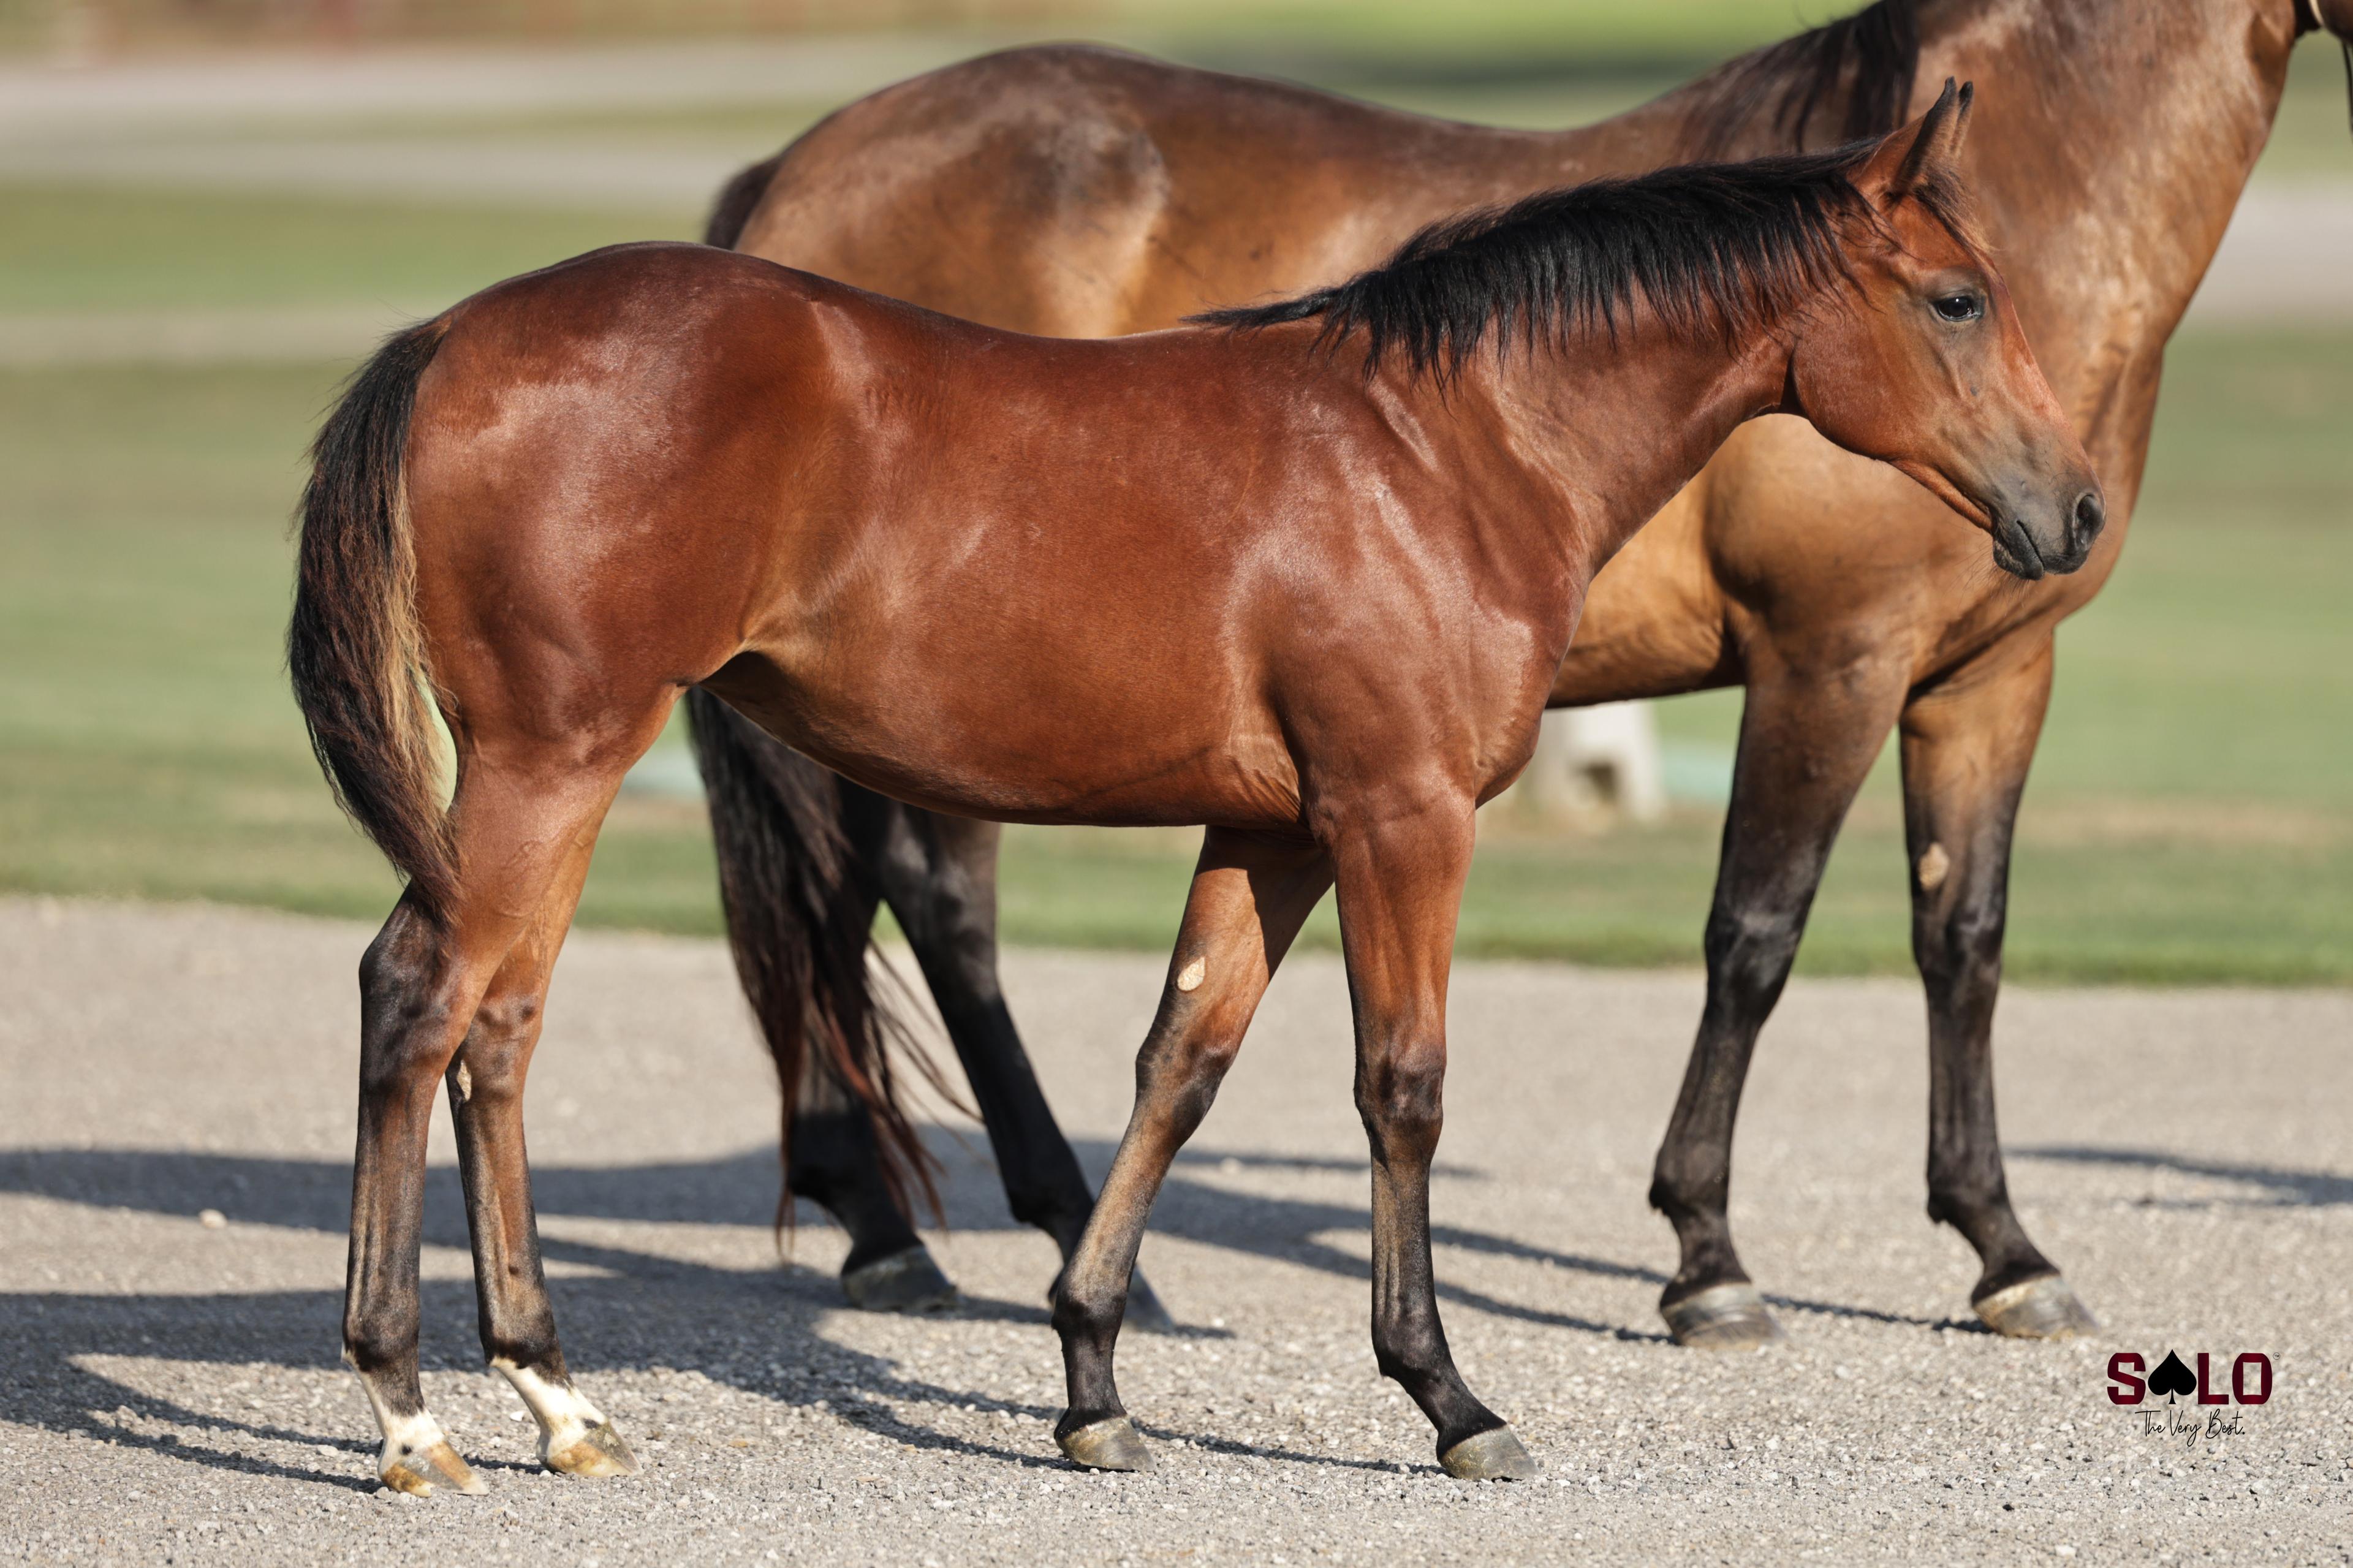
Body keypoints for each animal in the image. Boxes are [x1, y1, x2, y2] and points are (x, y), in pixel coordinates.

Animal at [290, 87, 2098, 1491]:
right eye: (1956, 298)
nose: (2072, 510)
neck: (1438, 449)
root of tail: (449, 338)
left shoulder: (1273, 828)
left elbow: (1180, 1066)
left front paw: (1092, 1378)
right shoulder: (1399, 815)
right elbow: (1402, 1086)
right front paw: (1449, 1397)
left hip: (565, 769)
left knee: (500, 1025)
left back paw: (555, 1393)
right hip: (553, 756)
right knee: (418, 995)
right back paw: (408, 1406)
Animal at [686, 0, 2353, 1345]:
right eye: (1956, 300)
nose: (2065, 508)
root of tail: (792, 175)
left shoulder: (1989, 674)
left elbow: (1966, 941)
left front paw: (2005, 1250)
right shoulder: (1829, 659)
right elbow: (1754, 936)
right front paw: (1706, 1258)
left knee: (869, 903)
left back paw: (906, 1223)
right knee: (933, 902)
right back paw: (990, 1226)